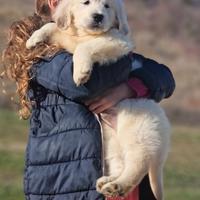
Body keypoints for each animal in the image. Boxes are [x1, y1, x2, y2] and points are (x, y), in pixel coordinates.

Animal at [26, 0, 170, 198]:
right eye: (86, 3)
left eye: (107, 6)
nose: (98, 16)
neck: (84, 34)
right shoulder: (68, 38)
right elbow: (53, 26)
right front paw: (33, 39)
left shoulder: (118, 43)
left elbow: (86, 47)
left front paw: (81, 72)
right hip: (111, 141)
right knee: (120, 164)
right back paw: (109, 183)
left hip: (137, 129)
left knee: (137, 164)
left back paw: (118, 185)